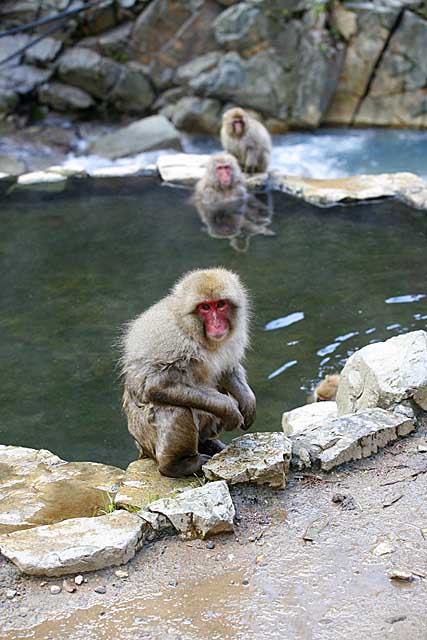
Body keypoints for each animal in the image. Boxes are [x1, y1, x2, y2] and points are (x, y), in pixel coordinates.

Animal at [120, 268, 256, 478]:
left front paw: (248, 401)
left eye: (220, 304)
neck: (192, 330)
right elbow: (156, 385)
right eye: (205, 307)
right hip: (145, 436)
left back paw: (207, 444)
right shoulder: (172, 342)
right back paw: (177, 465)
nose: (217, 324)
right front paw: (229, 408)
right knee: (177, 409)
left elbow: (227, 370)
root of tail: (140, 446)